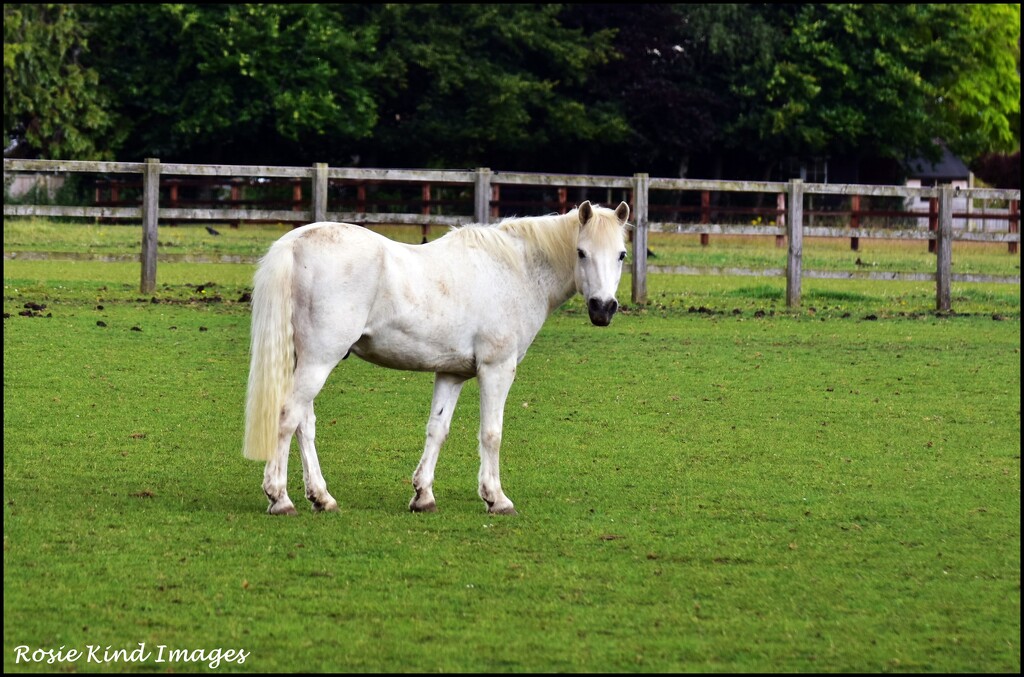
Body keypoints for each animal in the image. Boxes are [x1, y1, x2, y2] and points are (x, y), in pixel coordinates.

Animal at [242, 199, 626, 512]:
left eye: (621, 254)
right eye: (581, 252)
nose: (603, 308)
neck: (515, 271)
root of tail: (294, 243)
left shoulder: (452, 374)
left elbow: (437, 429)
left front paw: (423, 495)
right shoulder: (497, 369)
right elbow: (492, 433)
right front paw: (496, 498)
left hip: (306, 361)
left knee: (304, 424)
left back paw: (321, 497)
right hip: (319, 360)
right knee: (288, 417)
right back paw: (280, 498)